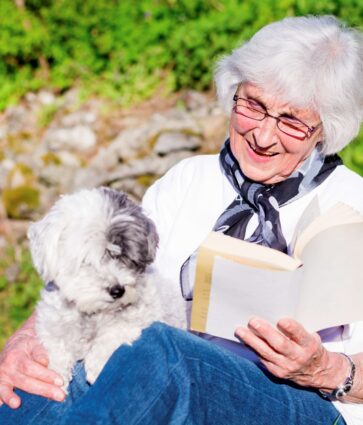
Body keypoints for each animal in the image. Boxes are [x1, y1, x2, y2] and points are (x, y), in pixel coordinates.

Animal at [28, 187, 186, 390]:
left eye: (125, 257)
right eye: (87, 260)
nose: (118, 291)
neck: (93, 313)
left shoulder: (143, 316)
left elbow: (114, 332)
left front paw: (97, 365)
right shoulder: (52, 322)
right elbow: (56, 346)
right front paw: (57, 375)